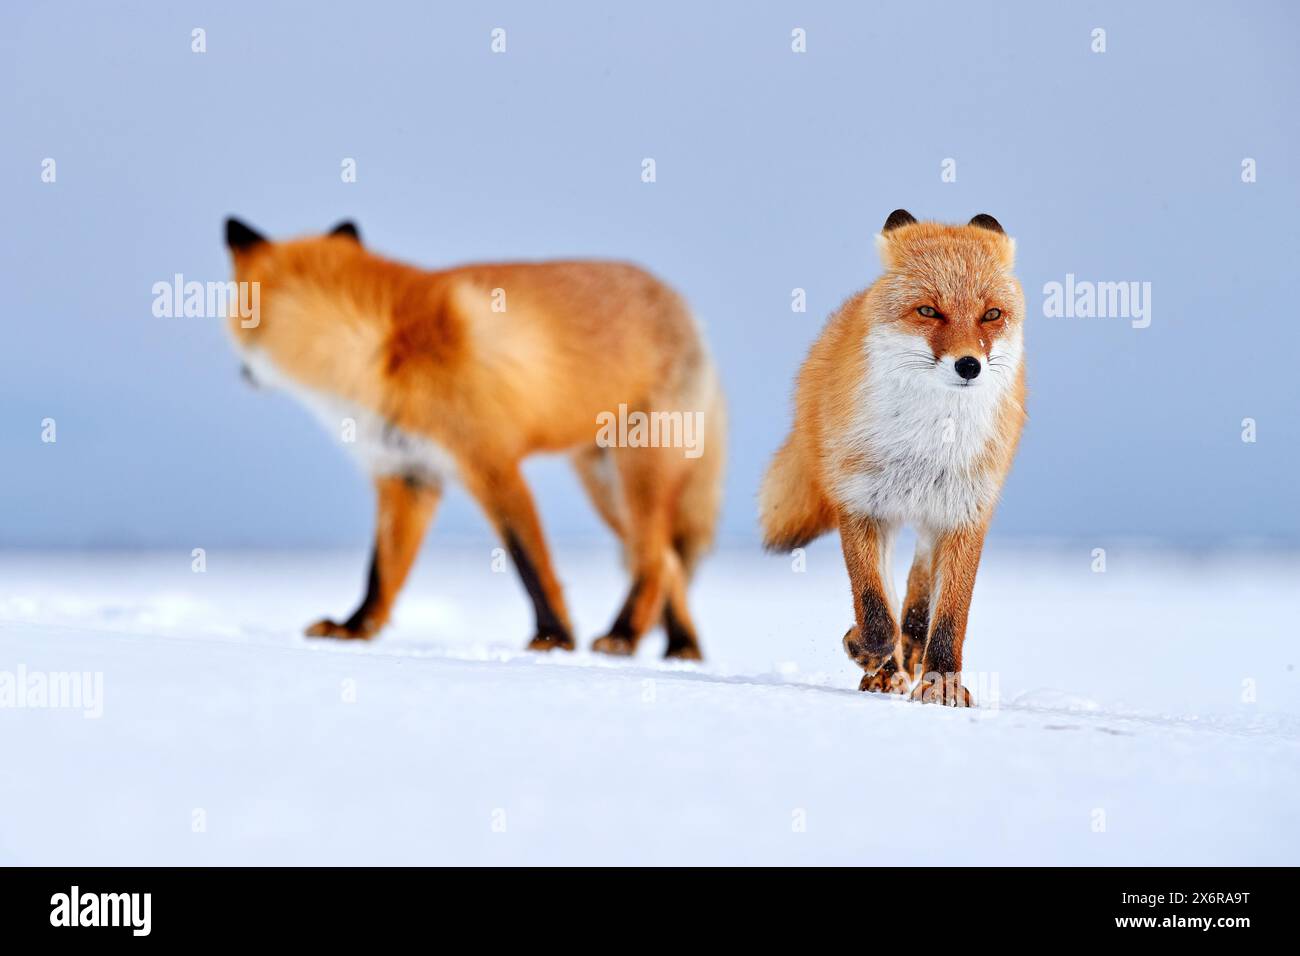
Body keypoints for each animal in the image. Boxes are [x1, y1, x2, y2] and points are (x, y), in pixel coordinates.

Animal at [227, 221, 728, 660]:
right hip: (605, 488)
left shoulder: (491, 464)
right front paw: (354, 630)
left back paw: (624, 636)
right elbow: (381, 573)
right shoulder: (409, 473)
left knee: (652, 559)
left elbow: (531, 564)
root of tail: (685, 307)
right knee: (669, 562)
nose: (241, 374)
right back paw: (682, 648)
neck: (374, 350)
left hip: (636, 473)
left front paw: (554, 639)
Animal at [759, 213, 1024, 707]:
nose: (969, 365)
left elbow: (950, 617)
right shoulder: (861, 503)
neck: (926, 444)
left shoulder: (965, 512)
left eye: (992, 314)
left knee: (918, 592)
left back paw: (912, 647)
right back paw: (887, 669)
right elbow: (874, 608)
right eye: (928, 311)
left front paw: (942, 683)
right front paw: (866, 649)